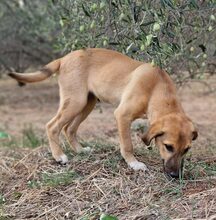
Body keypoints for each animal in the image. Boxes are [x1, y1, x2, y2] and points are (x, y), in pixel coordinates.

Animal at [8, 47, 197, 177]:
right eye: (168, 146)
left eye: (186, 149)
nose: (175, 175)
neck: (157, 87)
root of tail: (64, 58)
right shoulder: (122, 115)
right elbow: (127, 144)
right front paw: (134, 164)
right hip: (76, 101)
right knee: (52, 126)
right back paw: (59, 156)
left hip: (87, 103)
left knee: (69, 129)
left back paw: (80, 150)